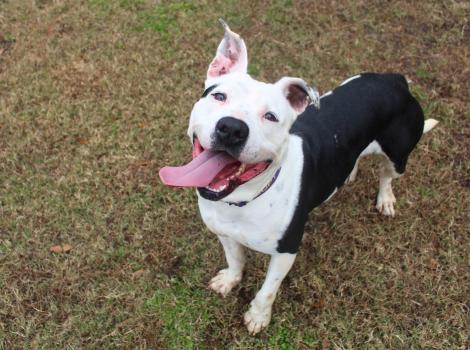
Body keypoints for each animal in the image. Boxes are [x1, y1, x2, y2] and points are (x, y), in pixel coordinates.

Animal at [160, 19, 438, 334]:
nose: (231, 128)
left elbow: (268, 290)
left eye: (270, 117)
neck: (243, 200)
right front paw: (230, 280)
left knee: (386, 175)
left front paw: (258, 316)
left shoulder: (286, 251)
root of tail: (395, 80)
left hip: (398, 154)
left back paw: (386, 198)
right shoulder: (224, 233)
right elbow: (235, 259)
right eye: (219, 96)